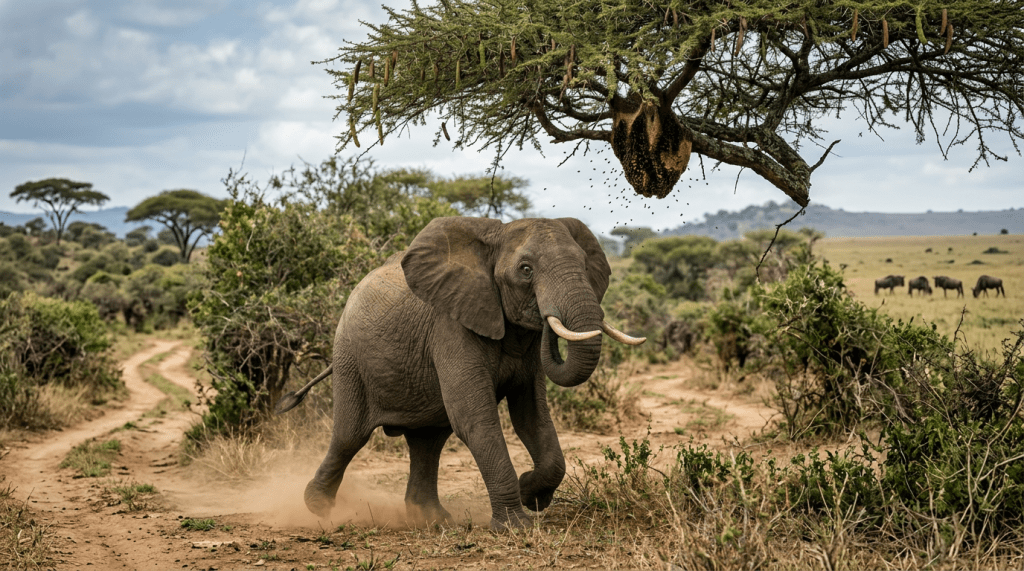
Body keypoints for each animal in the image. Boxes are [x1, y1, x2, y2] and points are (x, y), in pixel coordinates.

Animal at [275, 216, 645, 531]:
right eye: (525, 270)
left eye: (583, 264)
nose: (545, 319)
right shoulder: (451, 327)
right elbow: (475, 418)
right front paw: (515, 526)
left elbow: (532, 417)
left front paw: (531, 493)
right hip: (350, 359)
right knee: (350, 435)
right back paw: (318, 506)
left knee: (428, 441)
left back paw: (430, 518)